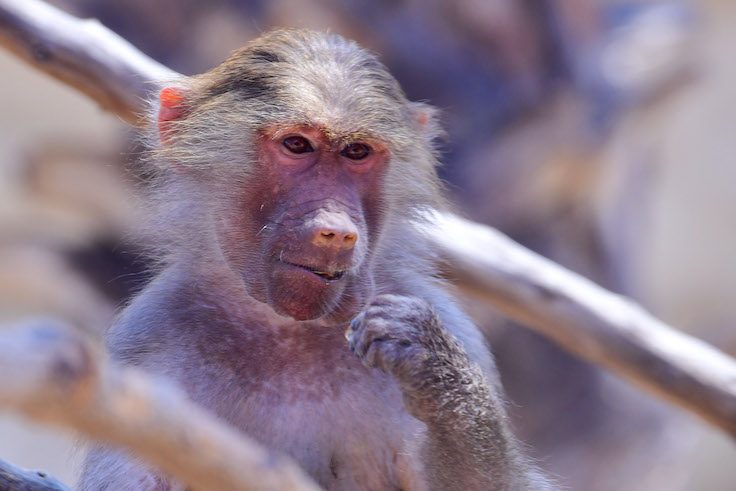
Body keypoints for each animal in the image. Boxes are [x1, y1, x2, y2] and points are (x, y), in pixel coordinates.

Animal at [78, 29, 553, 490]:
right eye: (297, 144)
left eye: (357, 152)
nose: (337, 231)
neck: (286, 331)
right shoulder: (147, 347)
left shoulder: (446, 317)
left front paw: (435, 367)